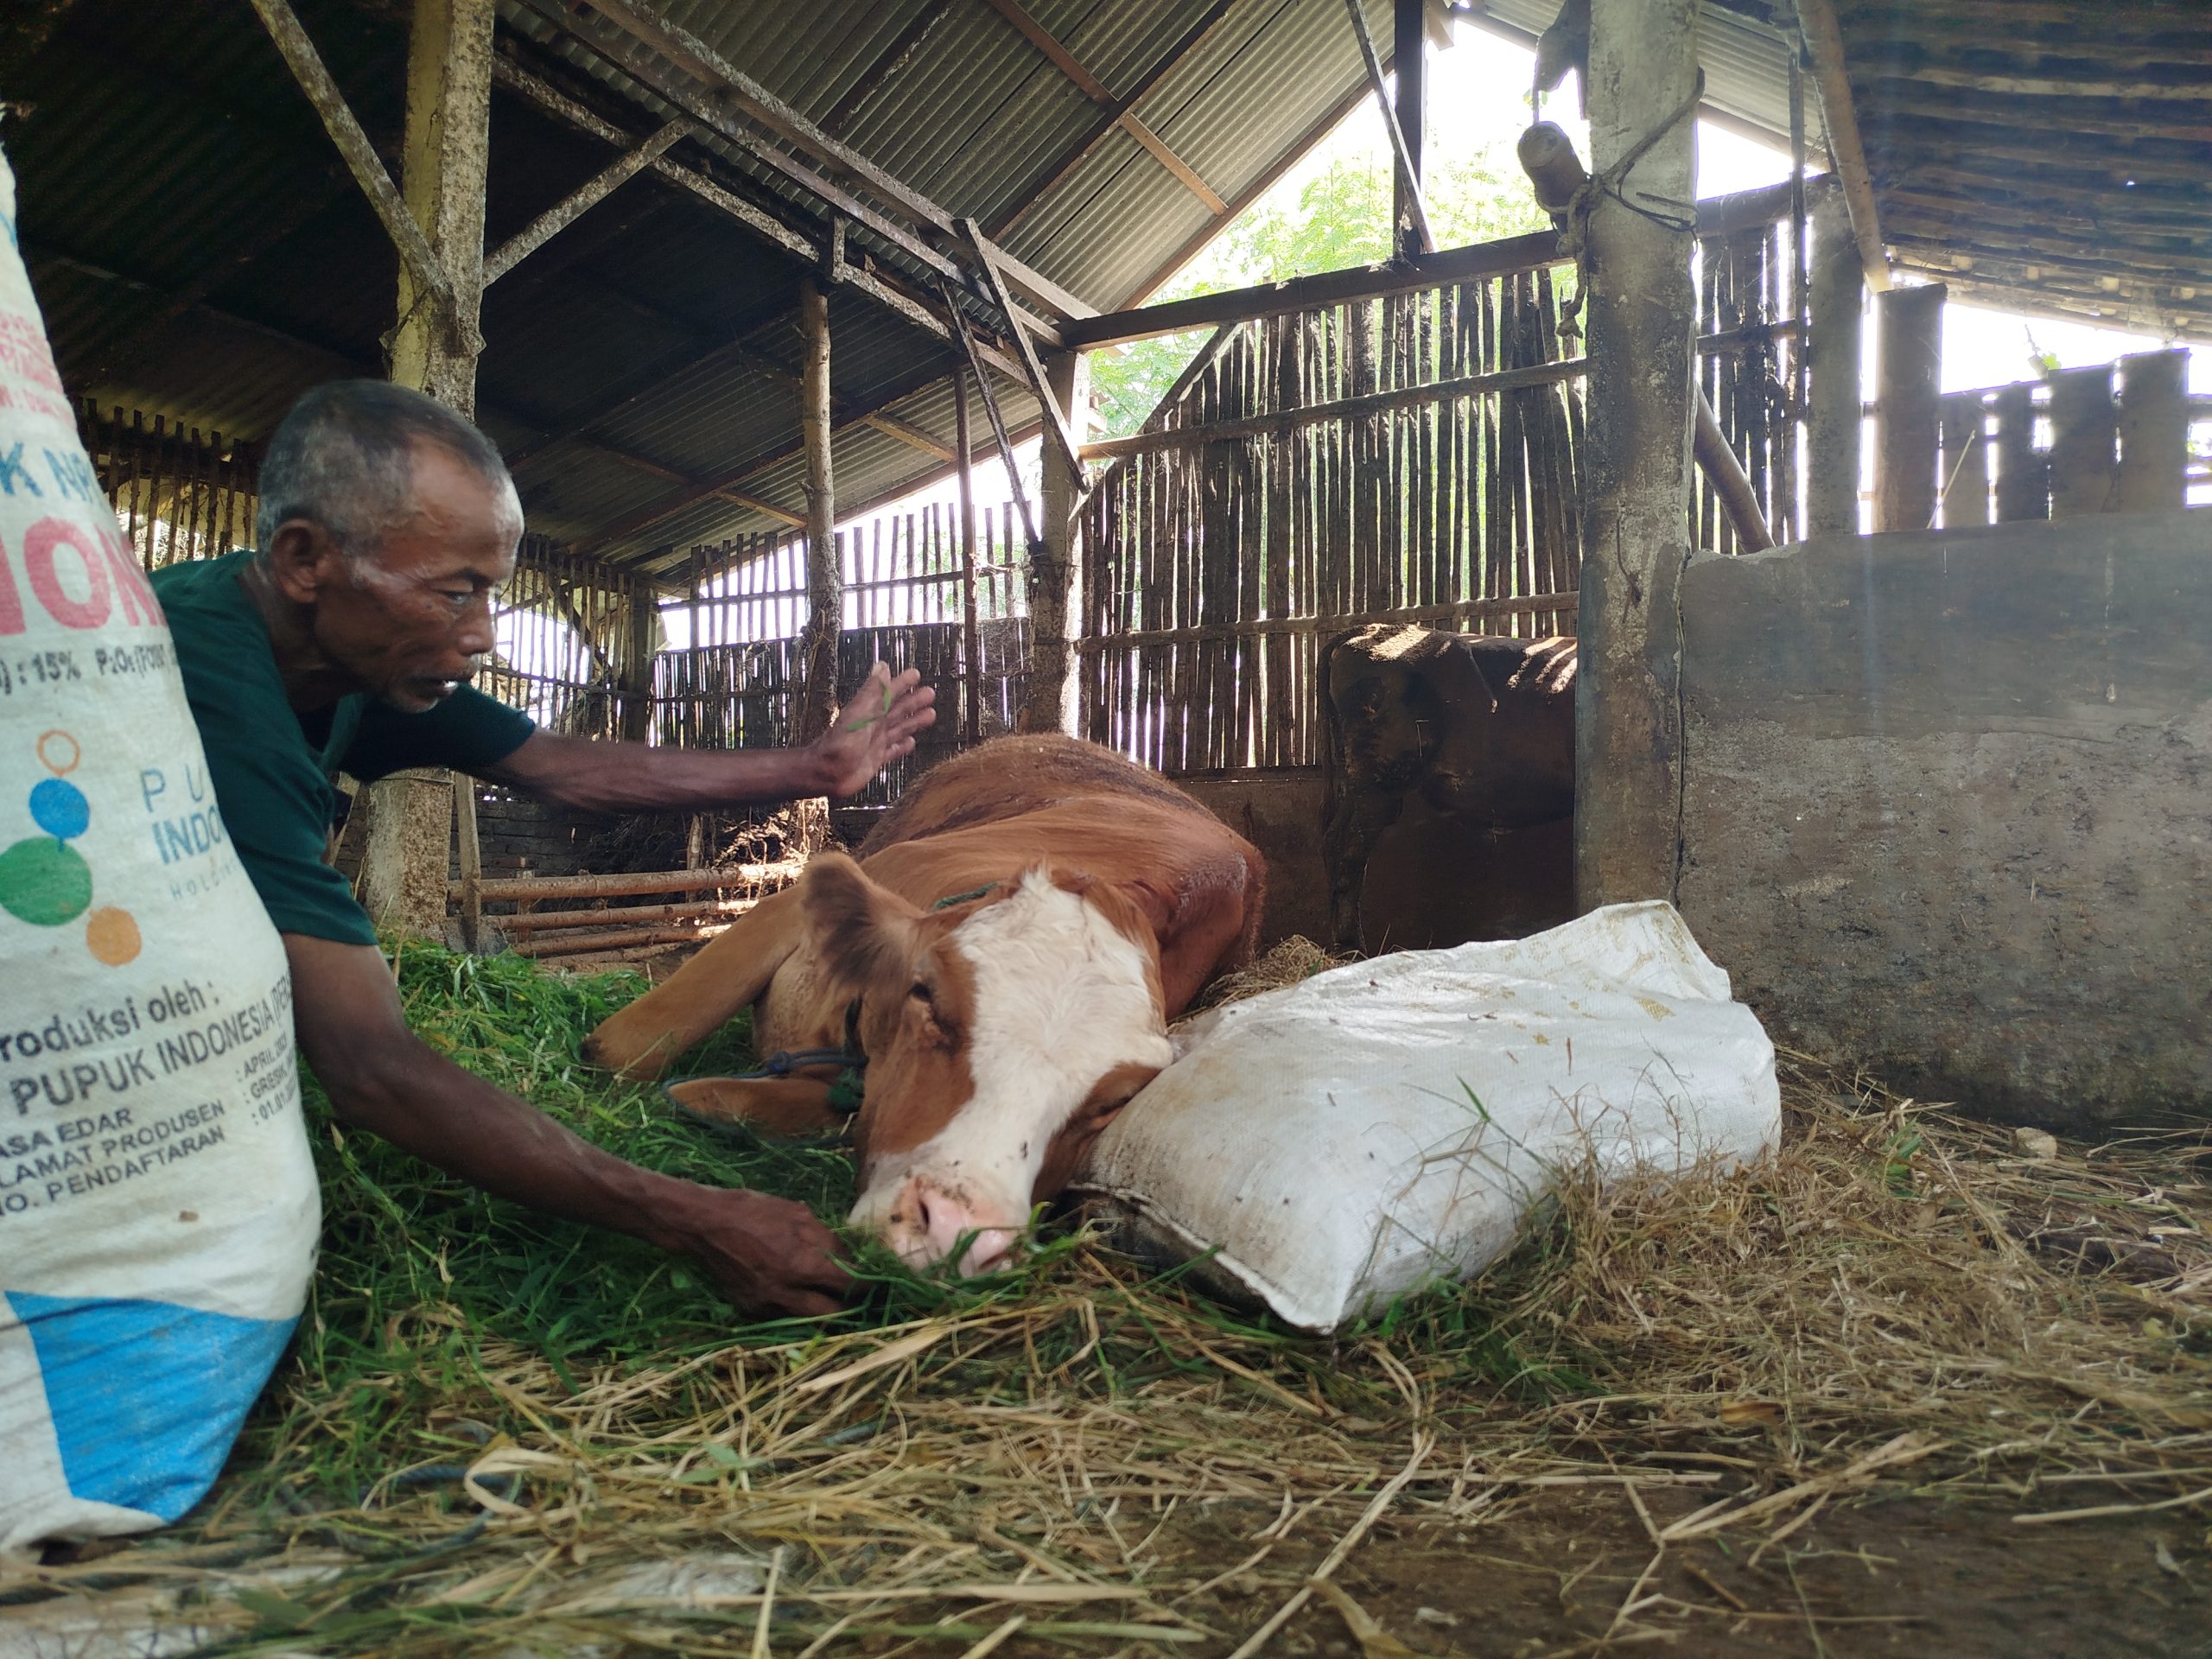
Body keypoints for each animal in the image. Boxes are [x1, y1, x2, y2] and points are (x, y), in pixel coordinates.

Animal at [1318, 628, 1583, 955]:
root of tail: (1370, 629)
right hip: (1378, 788)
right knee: (1348, 851)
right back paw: (1351, 948)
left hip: (1360, 786)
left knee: (1335, 841)